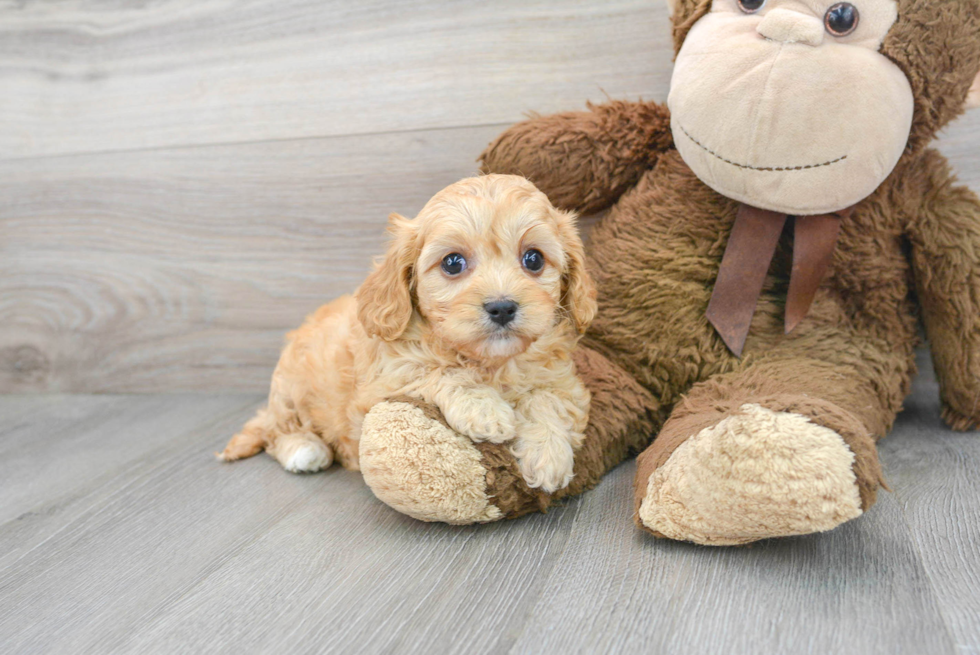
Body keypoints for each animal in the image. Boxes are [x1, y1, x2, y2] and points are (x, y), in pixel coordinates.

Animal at [220, 174, 596, 492]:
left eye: (534, 259)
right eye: (453, 263)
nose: (502, 307)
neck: (489, 361)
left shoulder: (563, 380)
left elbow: (547, 399)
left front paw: (548, 454)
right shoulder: (384, 382)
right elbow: (438, 371)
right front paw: (484, 409)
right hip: (289, 390)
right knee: (275, 430)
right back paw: (305, 449)